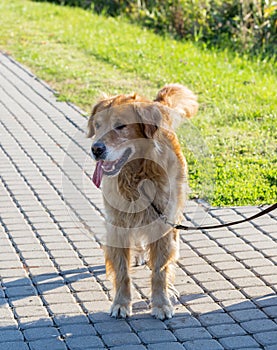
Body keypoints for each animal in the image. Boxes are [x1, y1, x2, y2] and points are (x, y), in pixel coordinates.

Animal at [87, 85, 197, 320]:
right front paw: (121, 303)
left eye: (121, 126)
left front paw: (161, 303)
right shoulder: (117, 224)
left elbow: (160, 271)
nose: (96, 149)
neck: (135, 174)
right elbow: (122, 271)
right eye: (97, 125)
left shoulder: (163, 223)